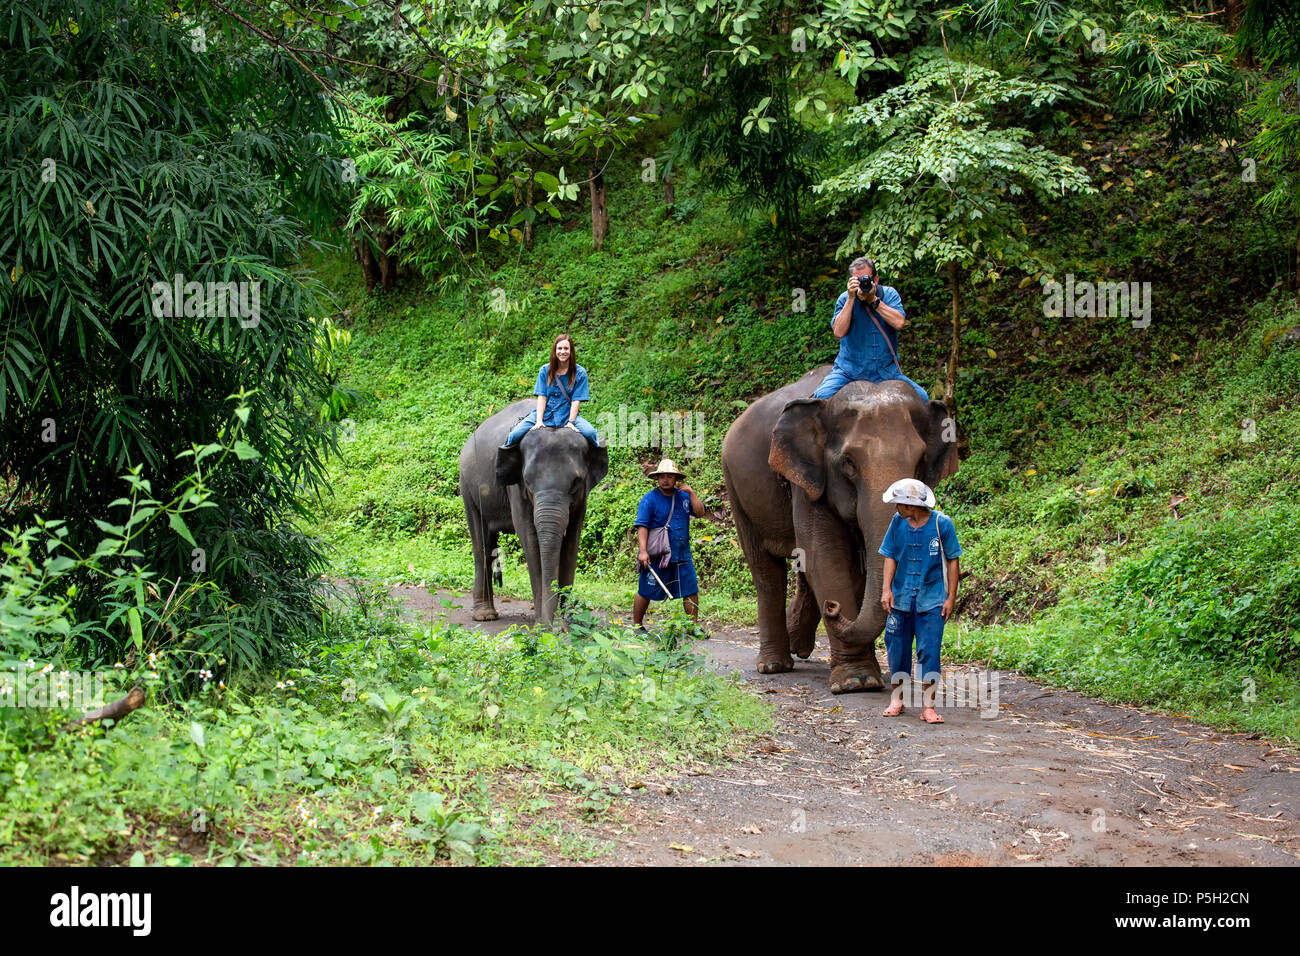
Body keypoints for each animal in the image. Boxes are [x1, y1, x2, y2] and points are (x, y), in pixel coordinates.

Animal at [457, 398, 608, 629]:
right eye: (528, 481)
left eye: (575, 482)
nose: (554, 624)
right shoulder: (515, 487)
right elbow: (528, 536)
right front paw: (542, 625)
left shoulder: (583, 498)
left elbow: (572, 540)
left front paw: (567, 624)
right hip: (467, 486)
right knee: (481, 545)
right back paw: (485, 616)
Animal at [722, 369, 956, 697]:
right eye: (848, 463)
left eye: (920, 460)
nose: (833, 608)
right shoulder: (808, 481)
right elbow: (825, 555)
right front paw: (856, 683)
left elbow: (855, 567)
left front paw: (867, 678)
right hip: (735, 486)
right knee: (766, 570)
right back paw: (774, 665)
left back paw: (798, 645)